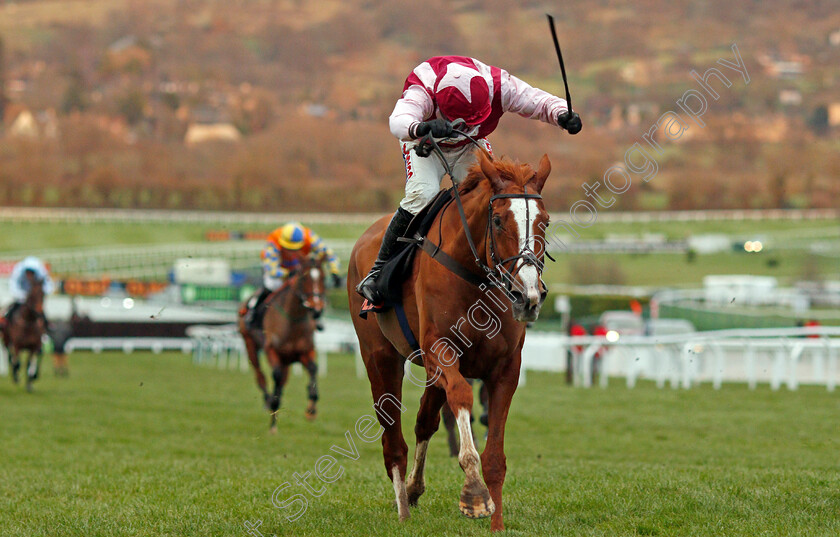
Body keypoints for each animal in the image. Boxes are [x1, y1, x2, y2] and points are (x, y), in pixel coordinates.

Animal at [240, 254, 328, 432]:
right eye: (304, 277)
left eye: (323, 277)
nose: (316, 309)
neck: (292, 320)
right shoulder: (271, 350)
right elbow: (276, 376)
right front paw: (273, 414)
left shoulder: (305, 351)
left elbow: (313, 369)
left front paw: (311, 410)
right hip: (249, 343)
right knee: (260, 376)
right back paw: (268, 404)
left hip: (287, 360)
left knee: (282, 382)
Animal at [348, 149, 552, 528]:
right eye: (498, 220)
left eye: (544, 221)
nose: (527, 296)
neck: (474, 275)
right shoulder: (440, 351)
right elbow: (461, 396)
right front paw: (474, 494)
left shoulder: (505, 368)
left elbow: (494, 455)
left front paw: (497, 524)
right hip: (380, 356)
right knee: (393, 439)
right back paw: (402, 509)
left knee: (423, 422)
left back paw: (413, 490)